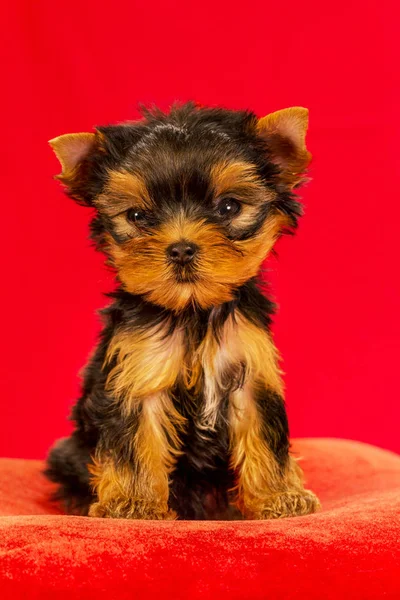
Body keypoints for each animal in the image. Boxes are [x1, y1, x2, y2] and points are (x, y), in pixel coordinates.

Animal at [44, 103, 318, 520]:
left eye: (229, 206)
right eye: (137, 216)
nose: (181, 248)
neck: (193, 310)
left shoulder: (250, 366)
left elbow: (263, 431)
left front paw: (279, 497)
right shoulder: (138, 369)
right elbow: (135, 440)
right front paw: (134, 503)